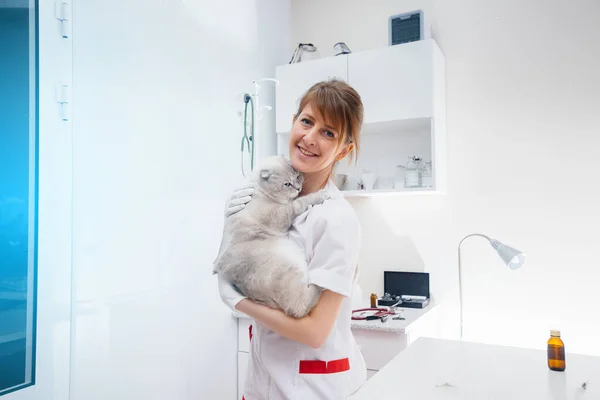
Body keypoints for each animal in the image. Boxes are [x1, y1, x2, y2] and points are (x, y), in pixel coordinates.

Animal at [213, 156, 330, 318]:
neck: (259, 192)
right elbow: (300, 202)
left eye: (297, 177)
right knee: (298, 307)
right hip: (289, 270)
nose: (298, 188)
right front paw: (320, 195)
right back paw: (320, 285)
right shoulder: (281, 214)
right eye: (287, 184)